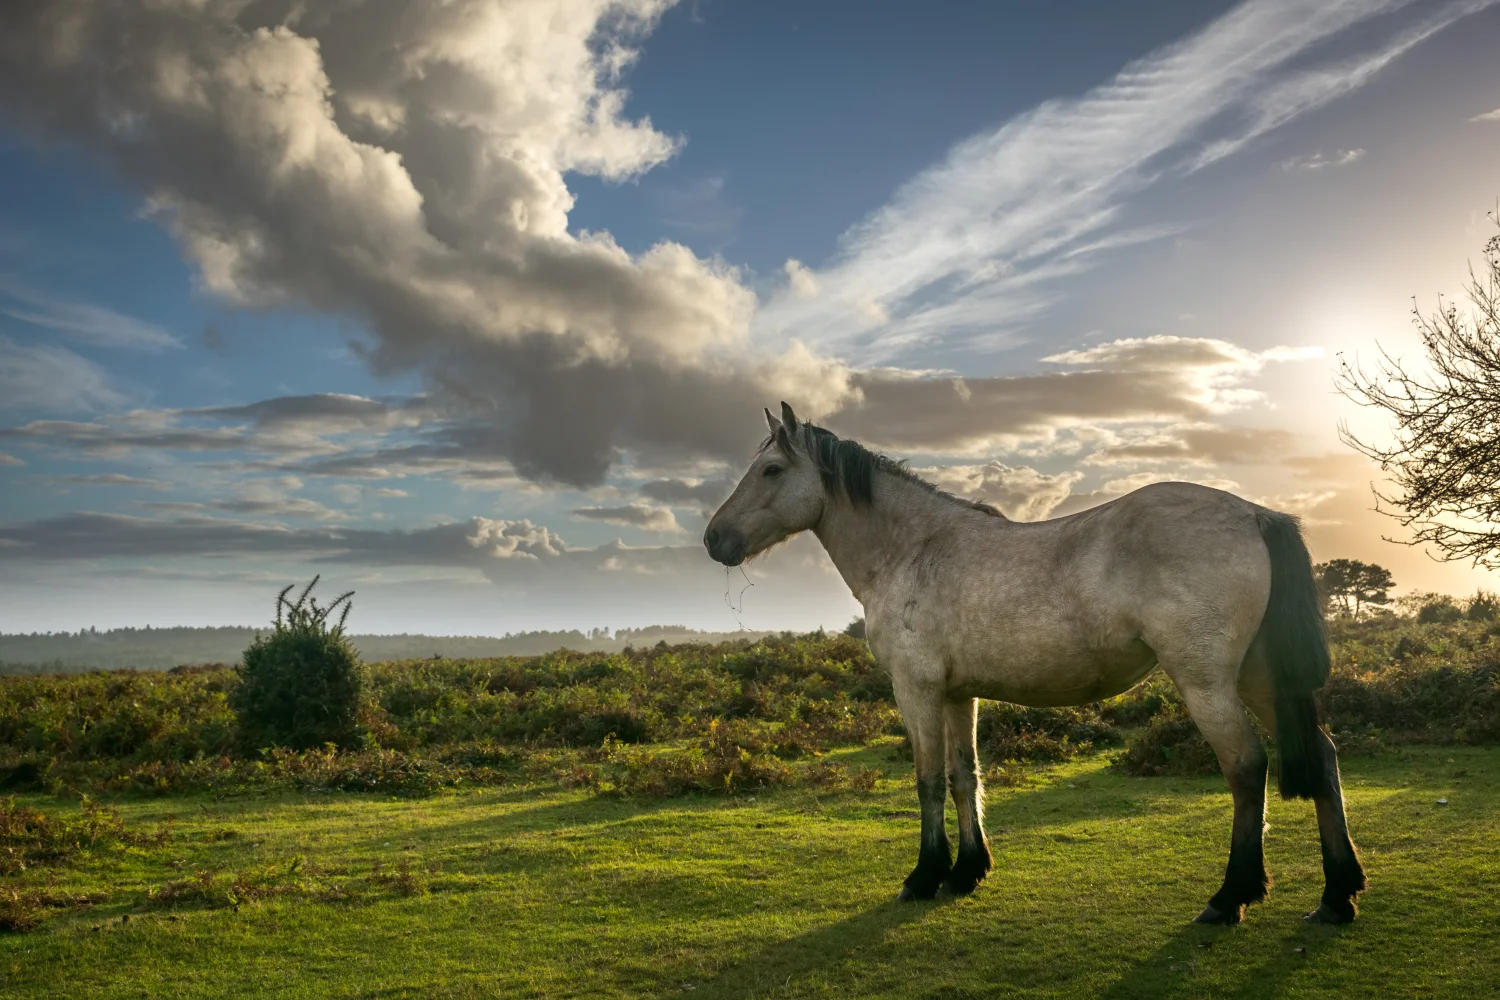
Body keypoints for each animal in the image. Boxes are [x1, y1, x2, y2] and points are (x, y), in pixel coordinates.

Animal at [703, 402, 1366, 925]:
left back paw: (1231, 898)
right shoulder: (956, 693)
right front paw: (967, 872)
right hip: (1258, 679)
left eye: (771, 470)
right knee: (1323, 756)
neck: (911, 549)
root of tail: (1255, 513)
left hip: (1206, 682)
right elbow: (964, 775)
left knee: (1247, 768)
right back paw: (1337, 896)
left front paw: (924, 876)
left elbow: (926, 781)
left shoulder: (916, 690)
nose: (714, 540)